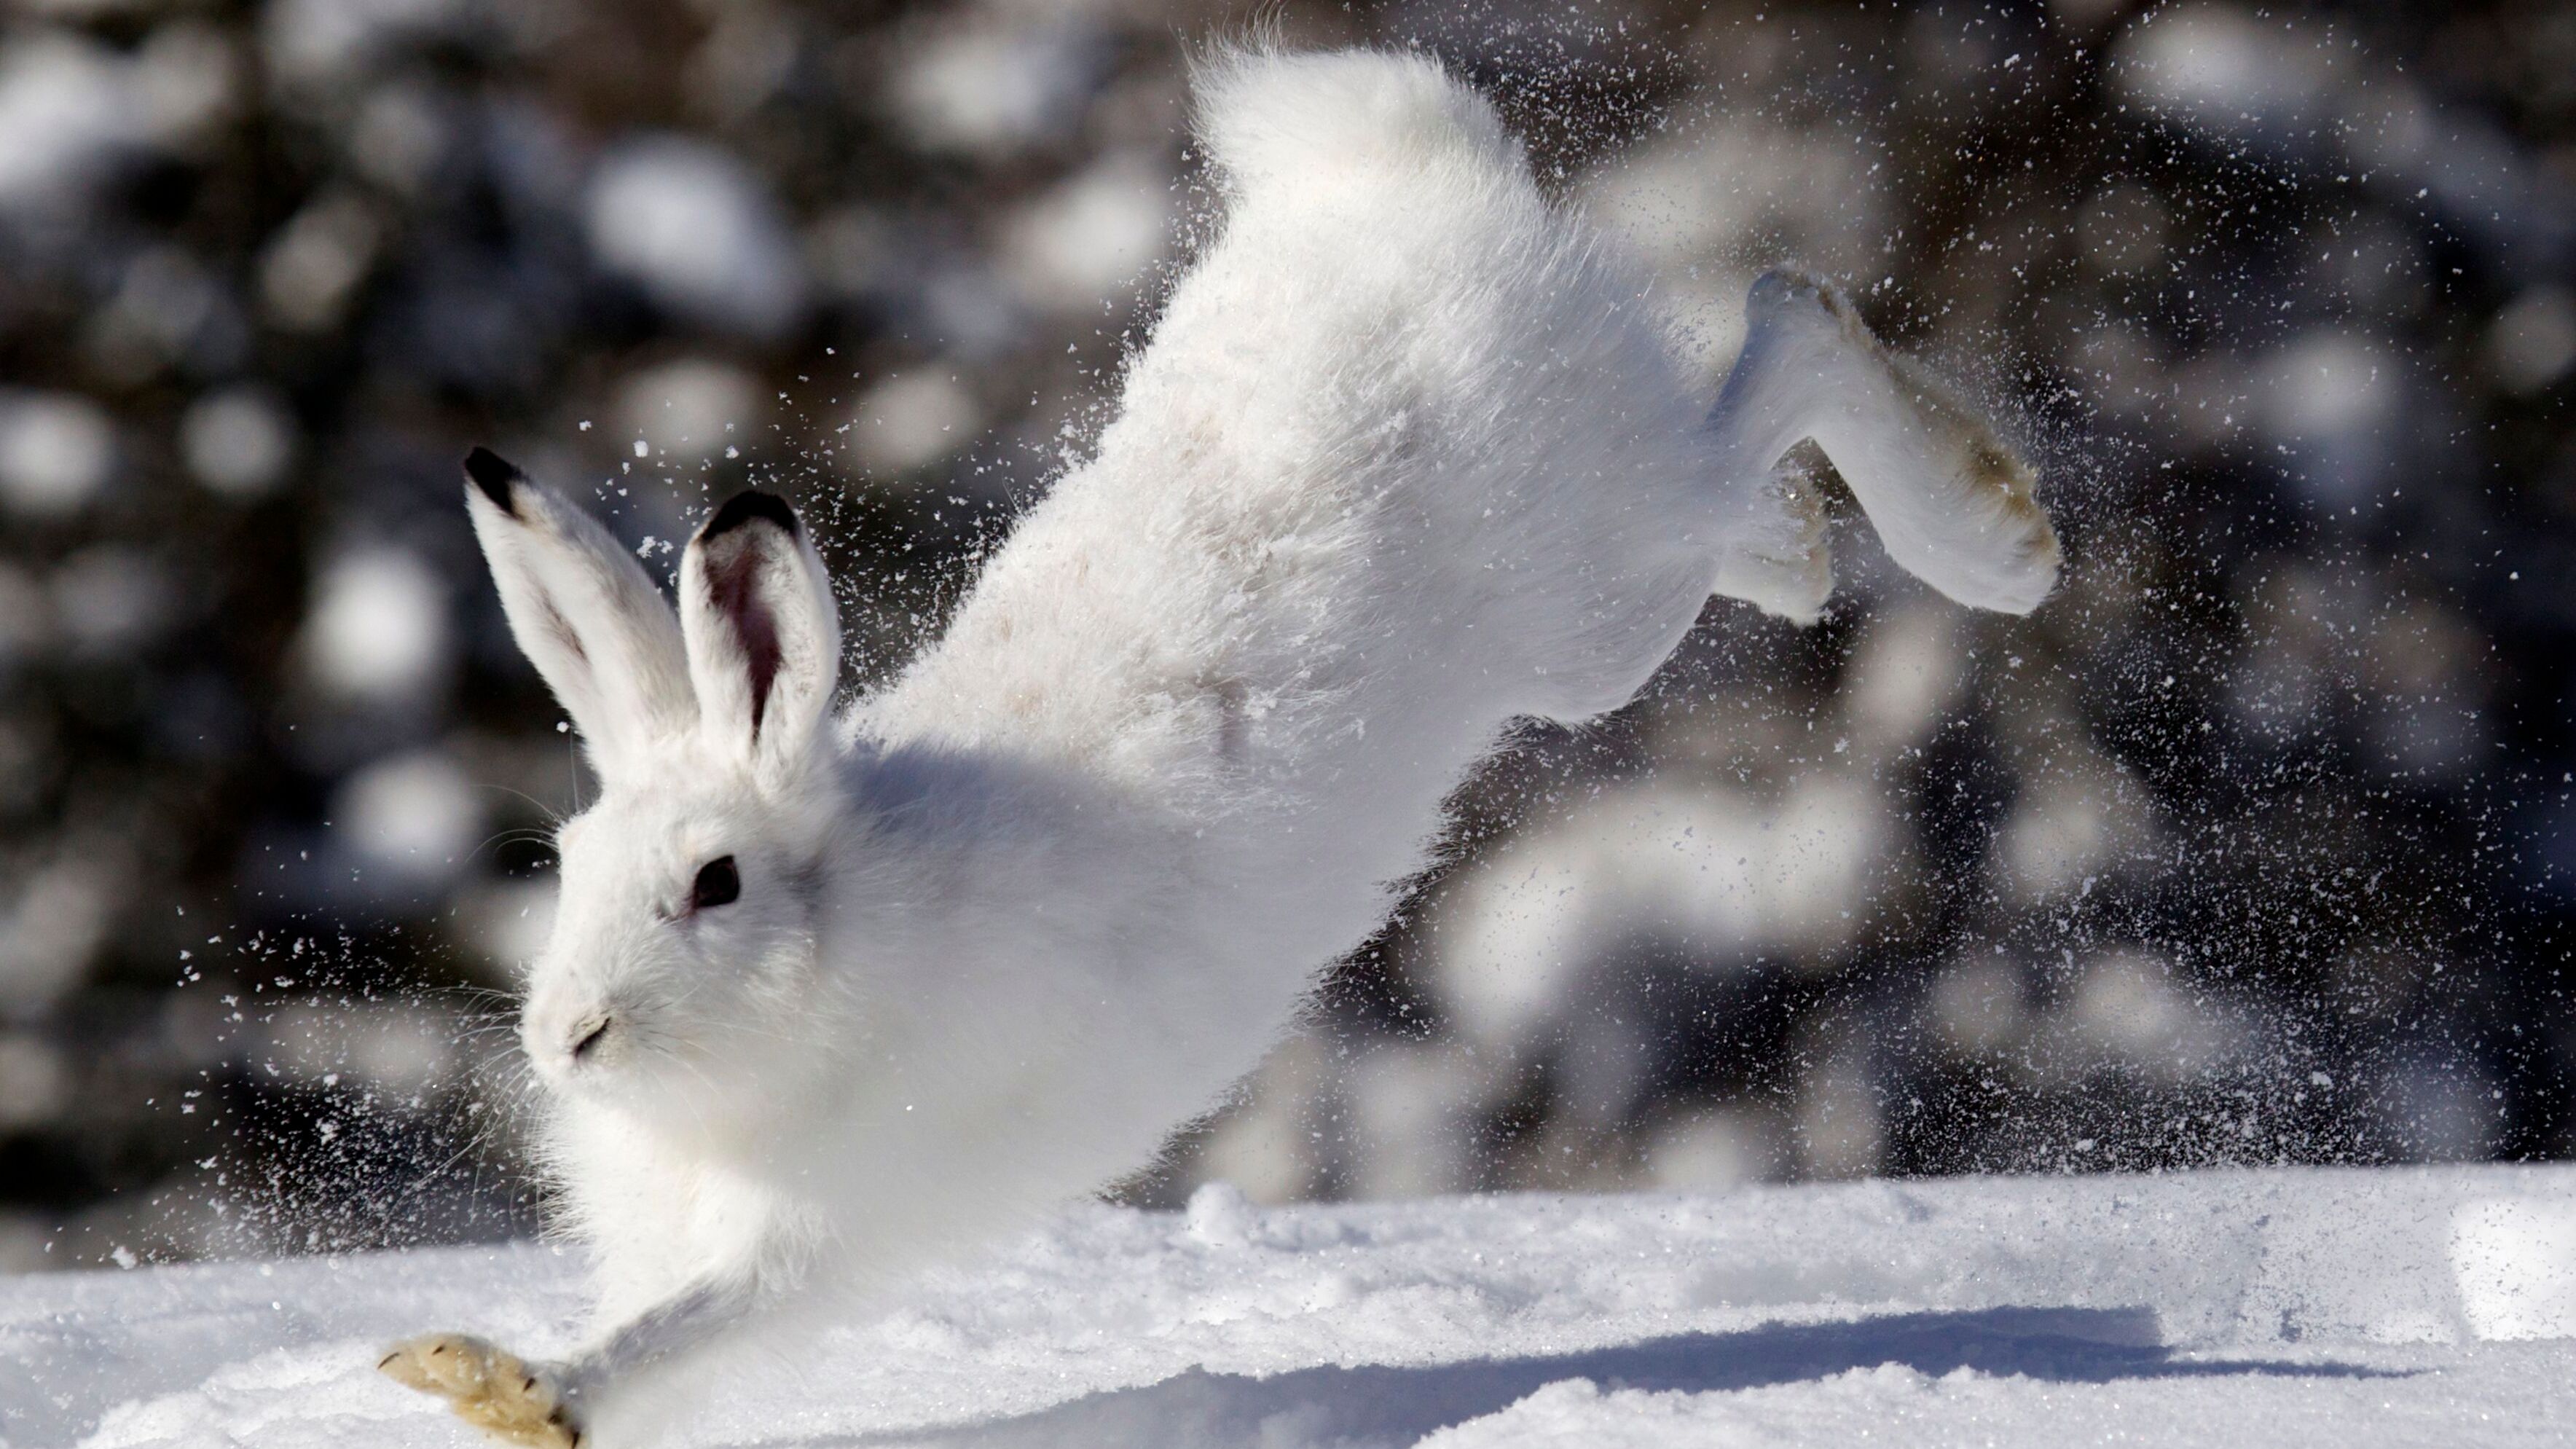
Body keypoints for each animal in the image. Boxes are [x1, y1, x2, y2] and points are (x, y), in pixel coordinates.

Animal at [380, 46, 2058, 1448]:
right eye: (566, 861)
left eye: (716, 883)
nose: (570, 1036)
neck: (846, 919)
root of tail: (1398, 184)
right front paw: (450, 1370)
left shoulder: (823, 1222)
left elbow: (680, 1327)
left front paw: (507, 1385)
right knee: (1755, 449)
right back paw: (1824, 562)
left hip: (1592, 597)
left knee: (1785, 336)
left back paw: (1996, 542)